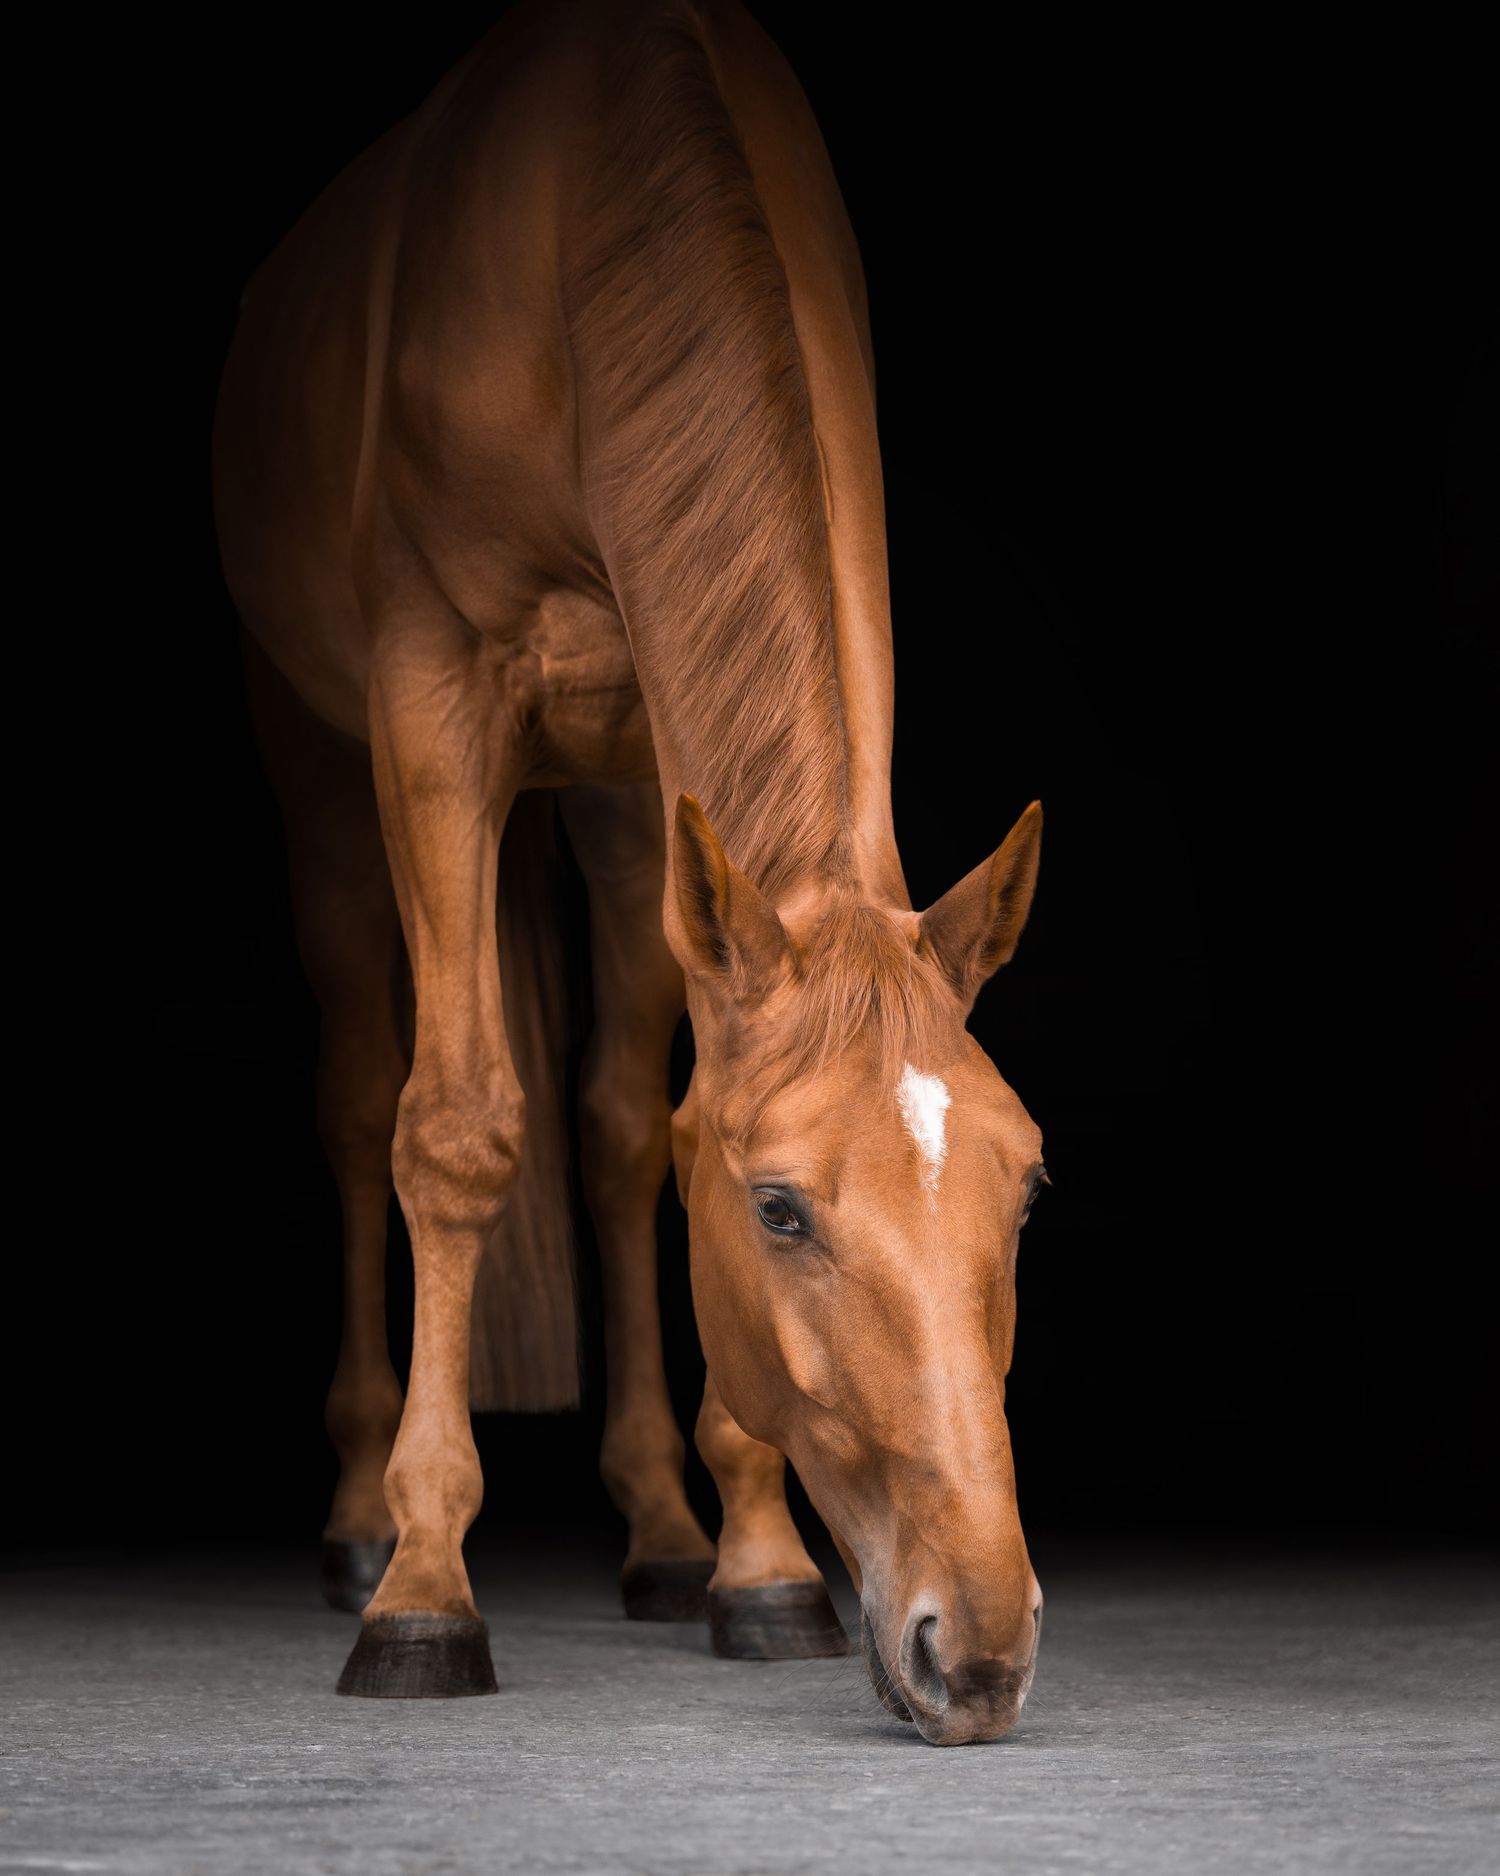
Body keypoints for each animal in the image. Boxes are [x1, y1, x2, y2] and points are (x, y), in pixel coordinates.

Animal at [212, 0, 1048, 1746]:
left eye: (1024, 1188)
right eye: (782, 1211)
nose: (982, 1648)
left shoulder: (667, 776)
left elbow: (650, 1136)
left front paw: (756, 1564)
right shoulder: (432, 701)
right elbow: (455, 1132)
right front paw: (423, 1590)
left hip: (605, 807)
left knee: (605, 1130)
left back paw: (668, 1534)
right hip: (320, 772)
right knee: (362, 1103)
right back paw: (358, 1522)